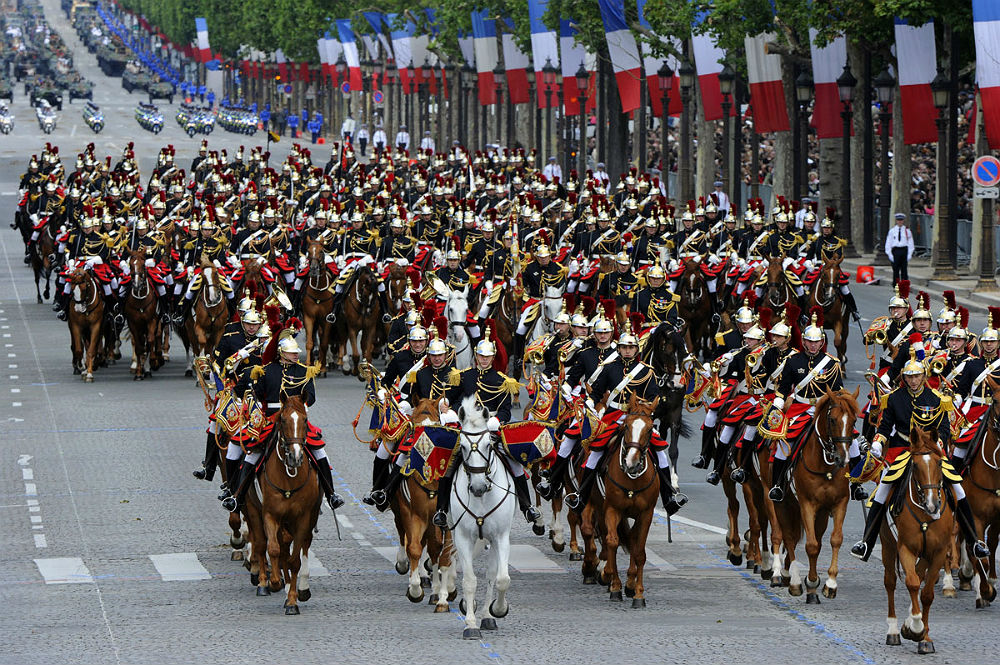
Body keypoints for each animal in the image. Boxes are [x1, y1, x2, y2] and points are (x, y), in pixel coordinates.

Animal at [126, 248, 163, 378]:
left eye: (143, 265)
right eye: (130, 265)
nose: (137, 285)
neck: (140, 299)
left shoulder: (151, 320)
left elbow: (150, 340)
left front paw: (153, 361)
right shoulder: (133, 323)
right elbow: (138, 346)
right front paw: (138, 372)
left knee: (155, 337)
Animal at [300, 237, 336, 374]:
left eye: (321, 251)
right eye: (308, 251)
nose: (314, 269)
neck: (319, 291)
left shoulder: (327, 320)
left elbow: (324, 344)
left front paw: (323, 367)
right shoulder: (309, 317)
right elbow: (310, 342)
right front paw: (308, 365)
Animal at [452, 394, 516, 640]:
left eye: (489, 444)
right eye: (462, 446)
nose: (478, 488)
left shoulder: (500, 537)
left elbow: (501, 578)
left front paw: (497, 609)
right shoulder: (462, 537)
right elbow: (469, 580)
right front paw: (470, 624)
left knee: (491, 574)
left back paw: (488, 616)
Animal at [580, 394, 664, 608]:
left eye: (650, 429)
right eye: (626, 426)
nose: (631, 463)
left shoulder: (646, 514)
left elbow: (639, 550)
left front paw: (638, 594)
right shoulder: (612, 509)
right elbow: (612, 541)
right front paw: (614, 584)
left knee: (632, 540)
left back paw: (630, 582)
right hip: (598, 505)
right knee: (601, 534)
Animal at [884, 422, 952, 652]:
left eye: (939, 463)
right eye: (914, 466)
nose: (932, 505)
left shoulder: (938, 551)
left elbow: (927, 593)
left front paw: (925, 638)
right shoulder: (906, 548)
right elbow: (912, 583)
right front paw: (914, 626)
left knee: (920, 575)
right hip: (888, 545)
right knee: (891, 582)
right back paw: (894, 630)